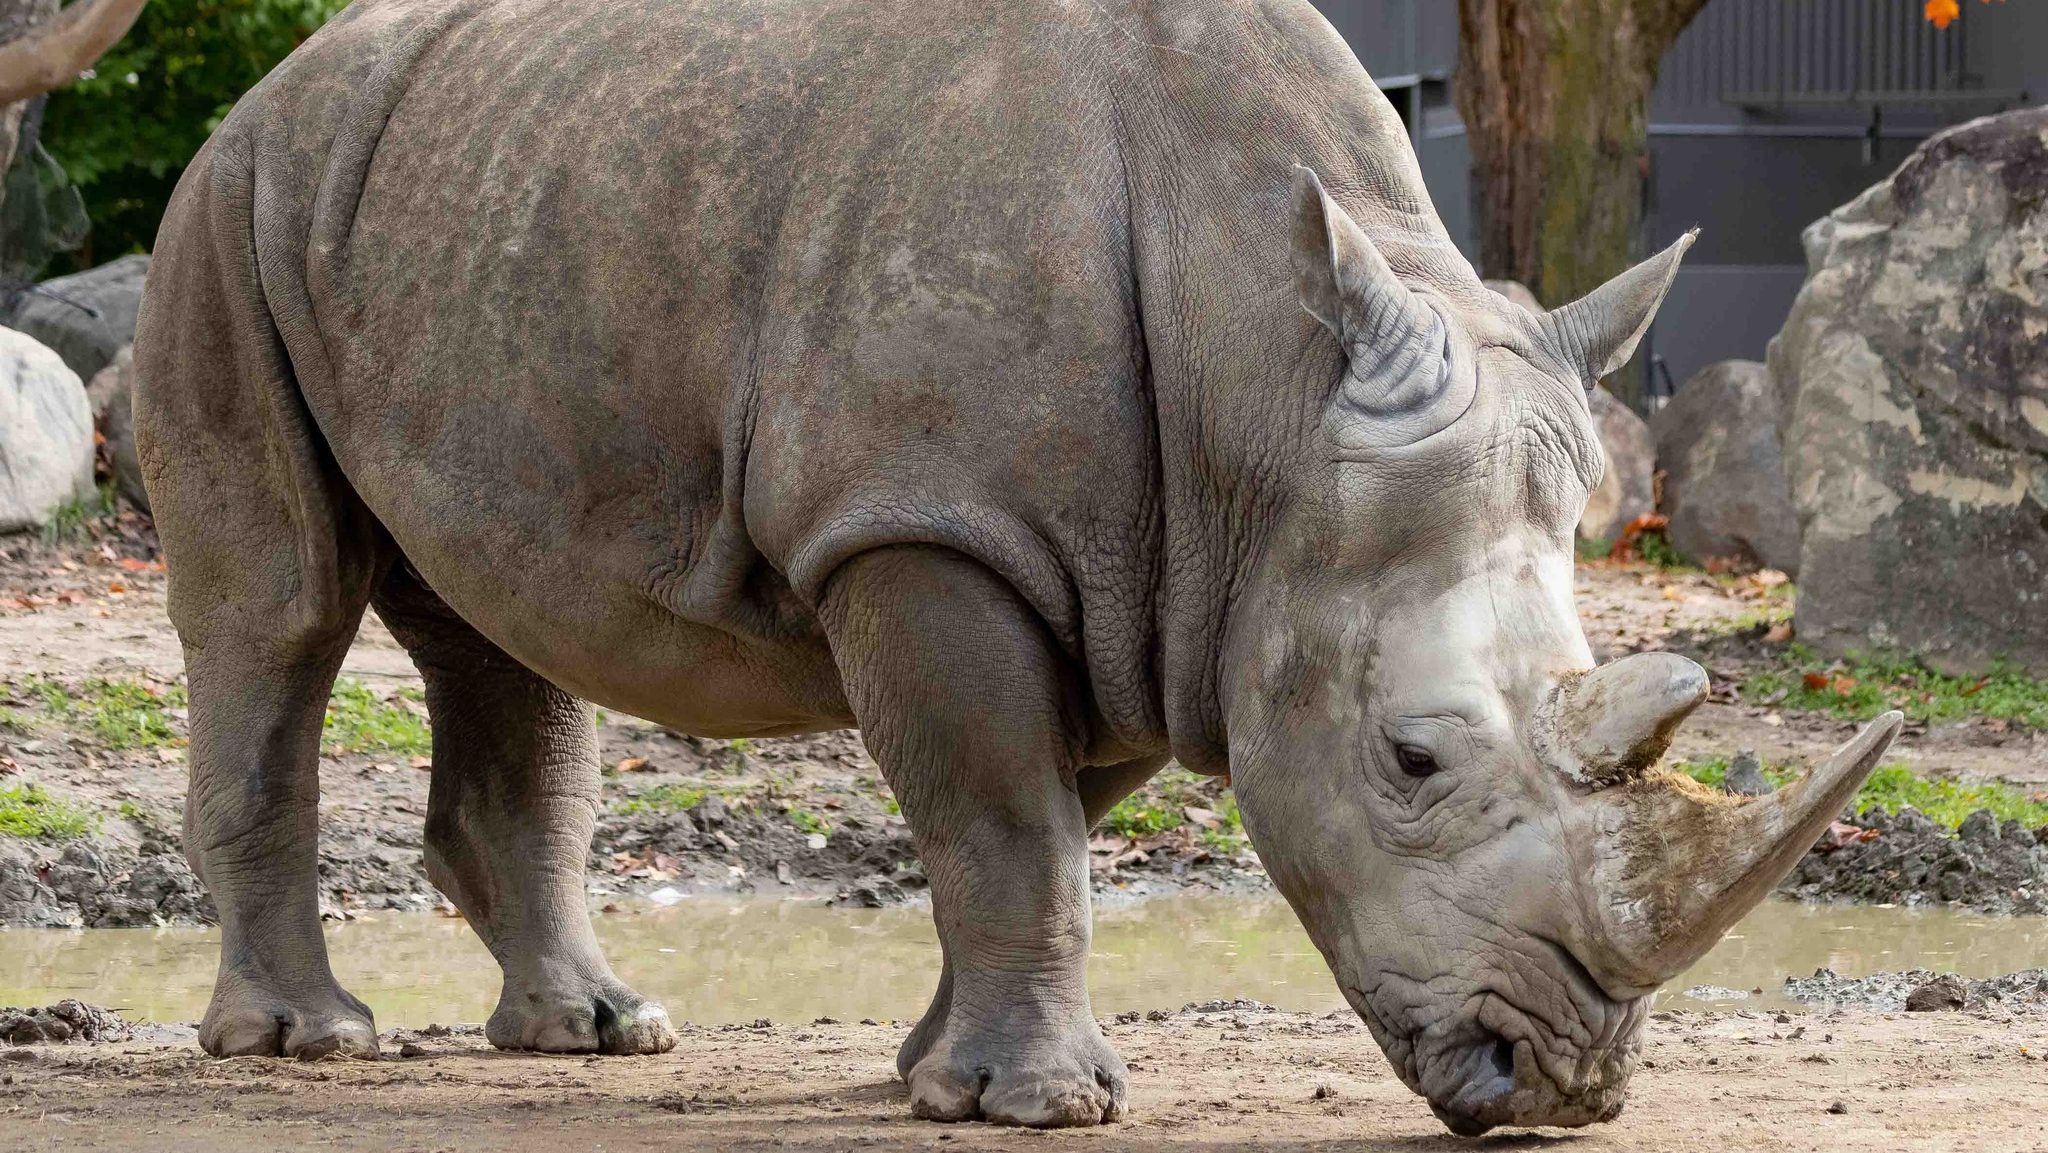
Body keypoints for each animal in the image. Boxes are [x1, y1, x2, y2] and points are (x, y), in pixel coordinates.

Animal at [132, 0, 1901, 1135]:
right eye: (1411, 761)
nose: (1562, 1088)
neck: (1266, 389)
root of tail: (281, 77)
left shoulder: (1161, 585)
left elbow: (1037, 819)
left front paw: (929, 1076)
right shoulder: (929, 522)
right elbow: (1002, 817)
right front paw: (1037, 1107)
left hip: (477, 191)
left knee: (505, 624)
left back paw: (596, 1035)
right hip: (226, 208)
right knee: (281, 607)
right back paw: (307, 1045)